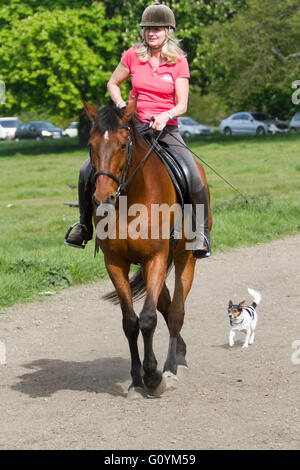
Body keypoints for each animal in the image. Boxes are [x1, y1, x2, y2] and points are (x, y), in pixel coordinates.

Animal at [83, 97, 212, 398]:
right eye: (91, 145)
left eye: (122, 145)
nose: (102, 198)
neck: (131, 201)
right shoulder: (115, 262)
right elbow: (131, 322)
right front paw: (136, 379)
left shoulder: (156, 257)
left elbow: (149, 318)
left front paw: (153, 377)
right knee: (166, 304)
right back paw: (180, 353)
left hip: (184, 258)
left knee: (175, 312)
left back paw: (172, 367)